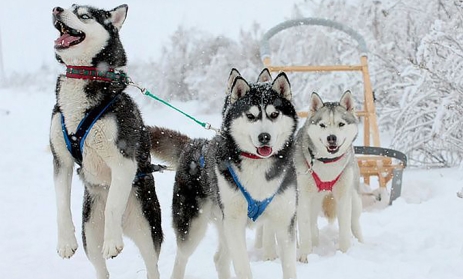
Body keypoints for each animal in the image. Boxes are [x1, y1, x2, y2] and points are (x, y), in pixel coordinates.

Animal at [49, 4, 163, 279]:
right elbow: (61, 203)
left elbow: (112, 205)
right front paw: (65, 242)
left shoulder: (123, 161)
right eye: (69, 7)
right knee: (100, 267)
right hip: (90, 235)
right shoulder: (61, 161)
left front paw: (112, 242)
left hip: (147, 231)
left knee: (152, 265)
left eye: (84, 15)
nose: (56, 9)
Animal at [150, 68, 300, 279]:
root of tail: (193, 144)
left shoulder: (284, 220)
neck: (257, 166)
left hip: (222, 224)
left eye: (274, 114)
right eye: (251, 116)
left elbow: (289, 267)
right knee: (181, 258)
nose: (264, 137)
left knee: (219, 259)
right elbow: (243, 268)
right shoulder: (234, 223)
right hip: (194, 226)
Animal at [296, 91, 364, 262]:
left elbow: (345, 228)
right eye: (322, 125)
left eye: (341, 124)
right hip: (312, 202)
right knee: (312, 224)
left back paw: (362, 243)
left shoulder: (344, 197)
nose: (331, 137)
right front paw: (305, 255)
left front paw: (345, 253)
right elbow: (305, 227)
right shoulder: (303, 198)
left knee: (355, 223)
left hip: (355, 198)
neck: (327, 163)